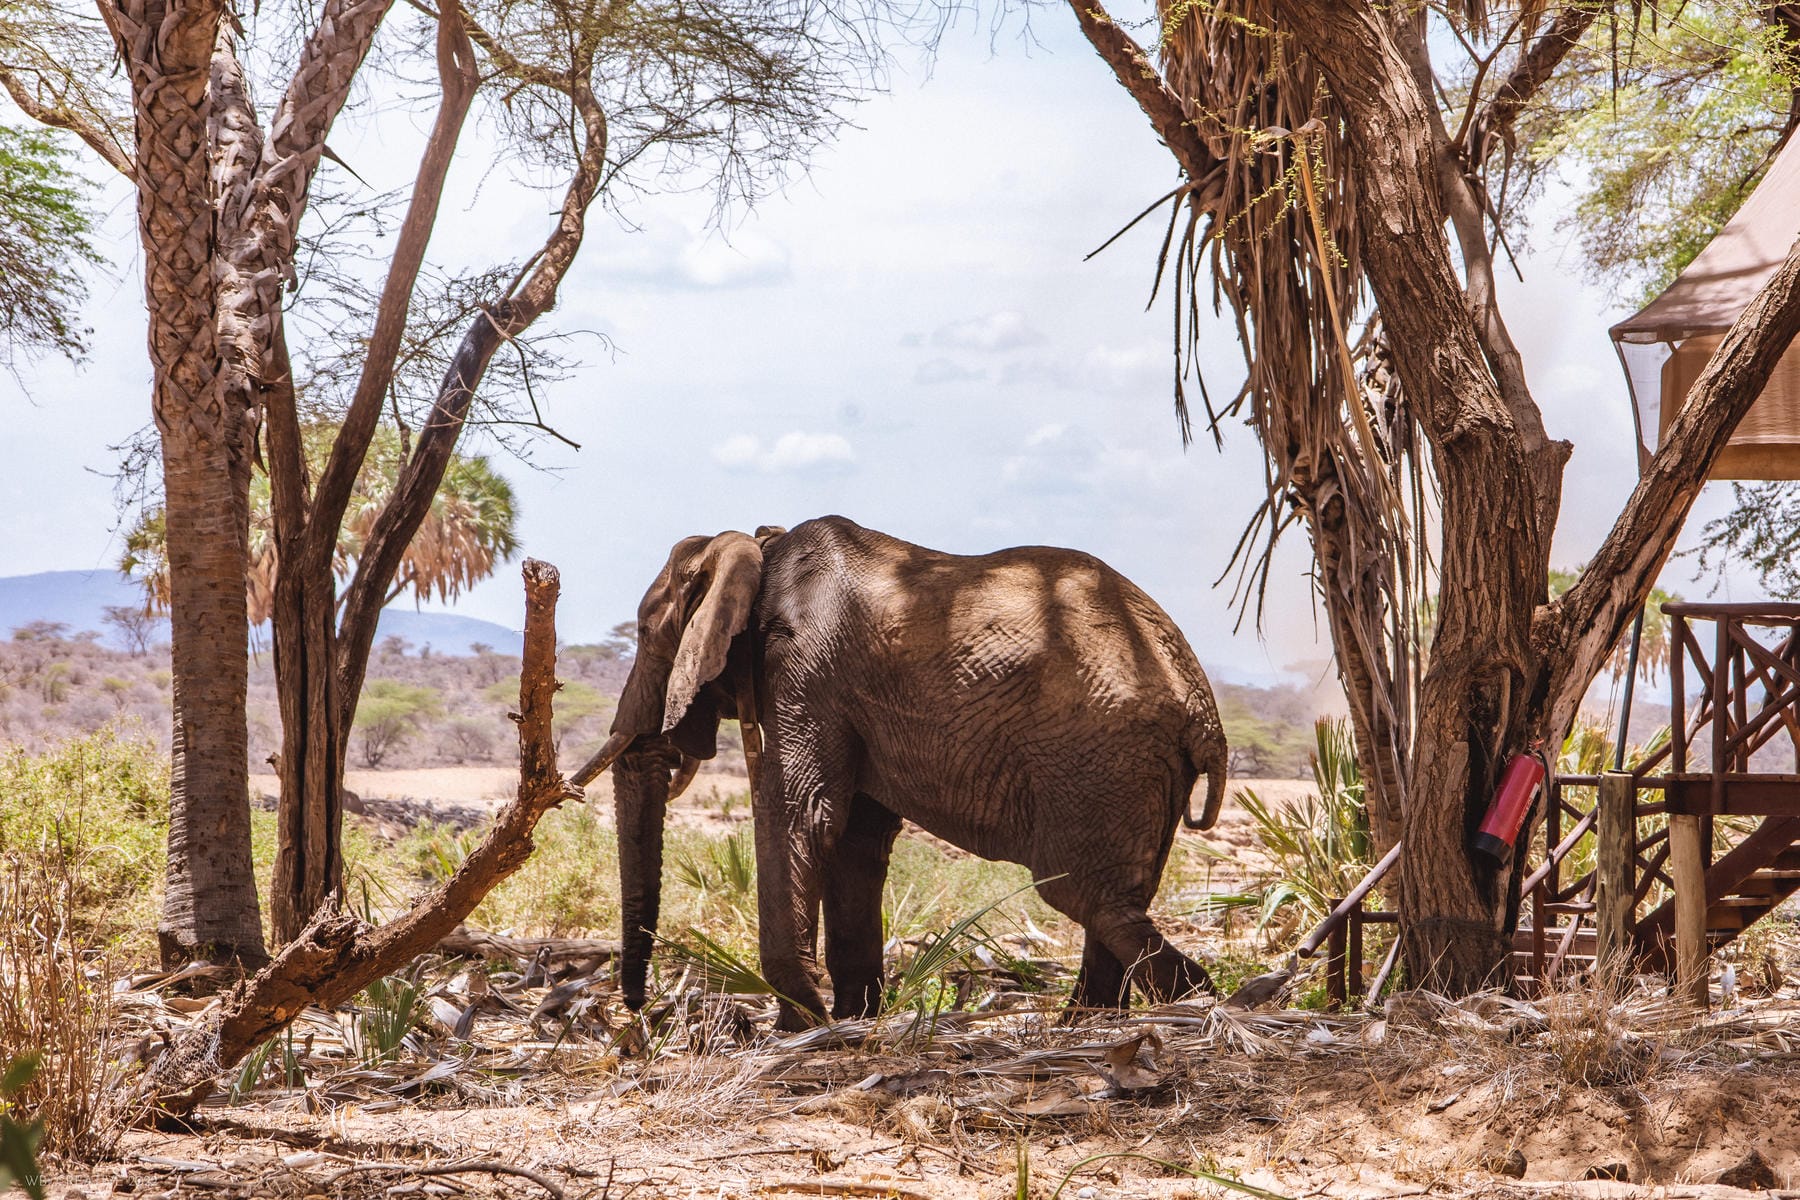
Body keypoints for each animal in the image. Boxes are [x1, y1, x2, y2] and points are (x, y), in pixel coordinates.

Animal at [576, 518, 1224, 1036]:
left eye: (644, 633)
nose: (635, 1008)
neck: (759, 548)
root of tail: (1205, 714)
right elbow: (854, 841)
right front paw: (850, 1020)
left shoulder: (804, 670)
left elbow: (801, 815)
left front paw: (799, 1028)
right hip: (1136, 770)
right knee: (1114, 902)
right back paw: (1087, 1025)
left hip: (1099, 761)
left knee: (1083, 894)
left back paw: (1197, 1008)